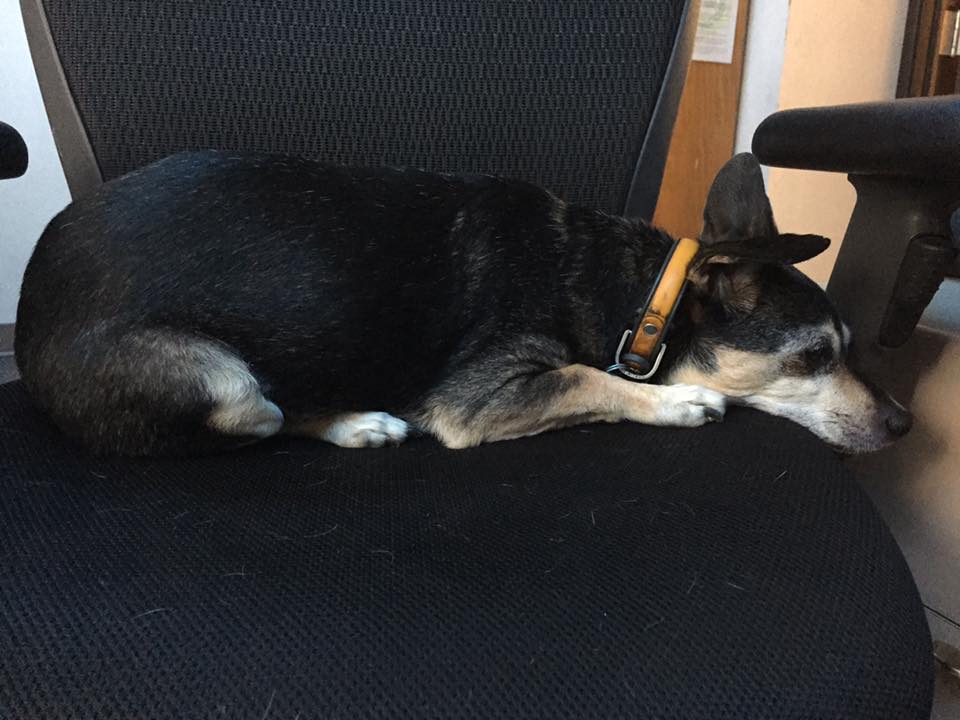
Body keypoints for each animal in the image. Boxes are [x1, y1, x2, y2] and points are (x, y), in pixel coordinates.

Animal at [14, 151, 912, 456]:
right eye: (813, 358)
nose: (906, 422)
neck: (641, 294)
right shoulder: (482, 392)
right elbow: (589, 377)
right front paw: (675, 400)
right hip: (223, 385)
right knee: (251, 421)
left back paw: (356, 418)